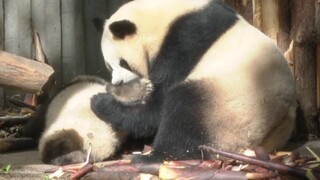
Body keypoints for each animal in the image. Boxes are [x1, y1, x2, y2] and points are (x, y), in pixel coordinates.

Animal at [90, 0, 298, 163]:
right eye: (109, 67)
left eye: (123, 63)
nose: (117, 82)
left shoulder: (184, 41)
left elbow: (157, 105)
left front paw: (100, 102)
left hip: (233, 106)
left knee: (185, 110)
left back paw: (156, 156)